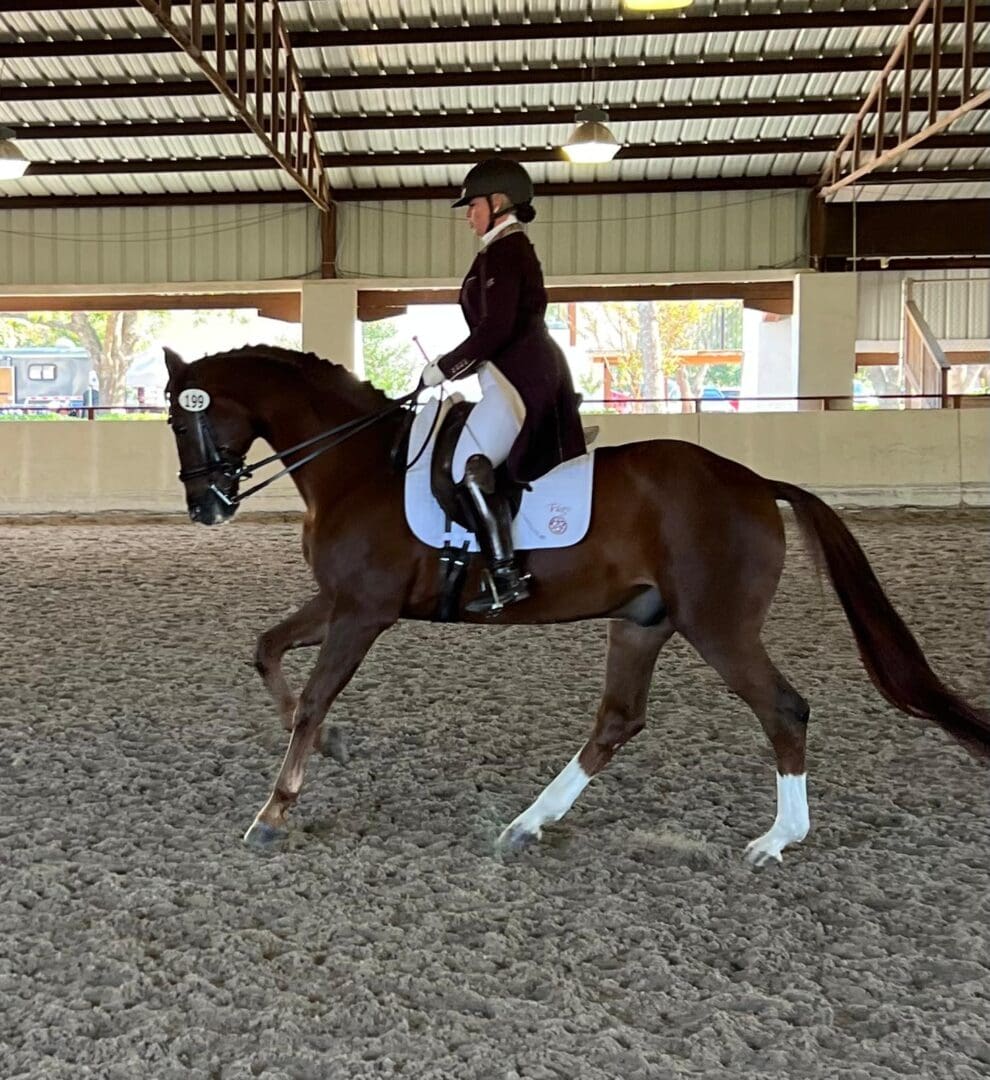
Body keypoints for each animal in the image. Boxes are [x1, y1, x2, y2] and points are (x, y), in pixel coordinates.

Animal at [164, 349, 988, 864]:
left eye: (184, 420)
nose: (206, 508)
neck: (360, 465)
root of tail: (755, 482)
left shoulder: (364, 611)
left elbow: (309, 698)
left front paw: (274, 812)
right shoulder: (338, 601)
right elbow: (268, 651)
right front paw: (331, 749)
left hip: (717, 625)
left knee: (783, 708)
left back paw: (775, 841)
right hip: (643, 622)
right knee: (618, 722)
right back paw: (528, 824)